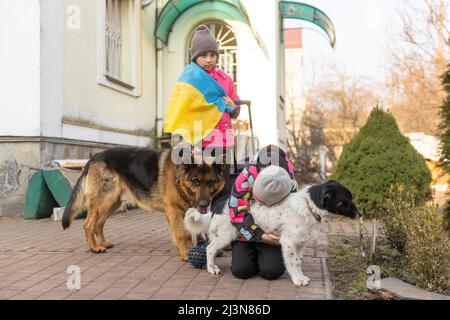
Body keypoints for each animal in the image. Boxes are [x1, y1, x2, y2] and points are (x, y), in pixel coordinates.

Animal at [60, 148, 225, 260]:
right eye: (195, 181)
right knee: (88, 224)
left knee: (99, 223)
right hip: (105, 201)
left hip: (112, 203)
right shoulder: (174, 211)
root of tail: (94, 157)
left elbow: (188, 232)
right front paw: (187, 253)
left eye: (211, 182)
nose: (204, 203)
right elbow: (182, 234)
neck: (179, 177)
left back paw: (103, 243)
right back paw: (94, 247)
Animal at [185, 180, 360, 288]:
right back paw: (211, 269)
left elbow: (299, 262)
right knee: (210, 249)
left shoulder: (300, 243)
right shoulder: (288, 242)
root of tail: (219, 203)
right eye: (344, 202)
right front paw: (297, 280)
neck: (309, 206)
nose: (361, 214)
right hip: (225, 235)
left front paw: (302, 277)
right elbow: (293, 263)